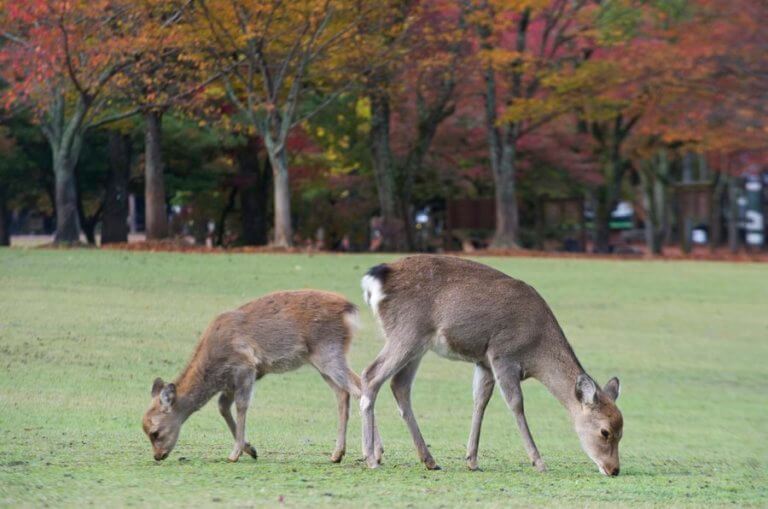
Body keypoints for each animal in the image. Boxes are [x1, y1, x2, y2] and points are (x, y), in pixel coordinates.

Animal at [141, 290, 380, 460]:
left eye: (155, 432)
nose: (158, 456)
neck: (215, 365)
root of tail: (350, 310)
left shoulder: (245, 366)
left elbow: (241, 405)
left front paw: (235, 453)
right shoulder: (236, 379)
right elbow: (222, 406)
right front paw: (250, 449)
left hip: (328, 351)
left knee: (359, 387)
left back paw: (374, 453)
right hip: (321, 361)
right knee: (343, 393)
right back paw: (338, 454)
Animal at [362, 256, 624, 474]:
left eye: (622, 431)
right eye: (605, 432)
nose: (614, 469)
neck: (536, 350)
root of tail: (375, 278)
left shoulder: (484, 362)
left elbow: (480, 401)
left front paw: (472, 460)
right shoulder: (502, 355)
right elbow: (516, 403)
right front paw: (538, 462)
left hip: (415, 344)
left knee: (398, 385)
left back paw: (428, 460)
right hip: (406, 333)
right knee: (370, 375)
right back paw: (371, 458)